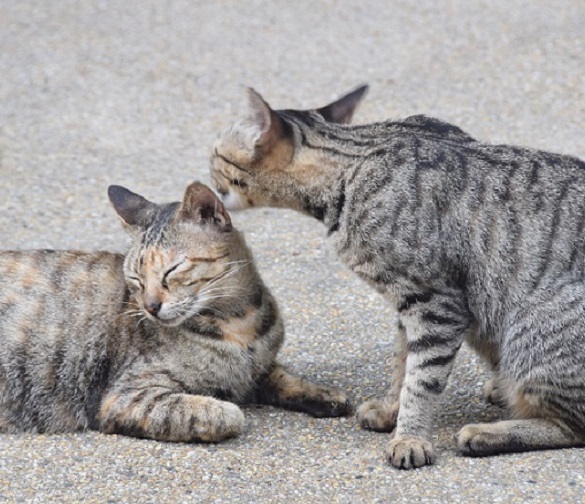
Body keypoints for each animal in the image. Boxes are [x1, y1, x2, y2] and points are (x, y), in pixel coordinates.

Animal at [0, 181, 350, 441]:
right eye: (136, 279)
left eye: (172, 270)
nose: (150, 306)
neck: (239, 323)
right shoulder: (126, 396)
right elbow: (219, 413)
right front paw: (223, 408)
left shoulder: (259, 369)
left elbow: (282, 376)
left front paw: (324, 394)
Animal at [210, 85, 585, 468]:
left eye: (216, 153)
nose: (207, 173)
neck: (350, 171)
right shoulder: (408, 302)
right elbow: (403, 364)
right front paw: (392, 410)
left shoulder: (435, 304)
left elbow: (421, 379)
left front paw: (409, 437)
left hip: (536, 327)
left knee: (574, 427)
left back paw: (487, 433)